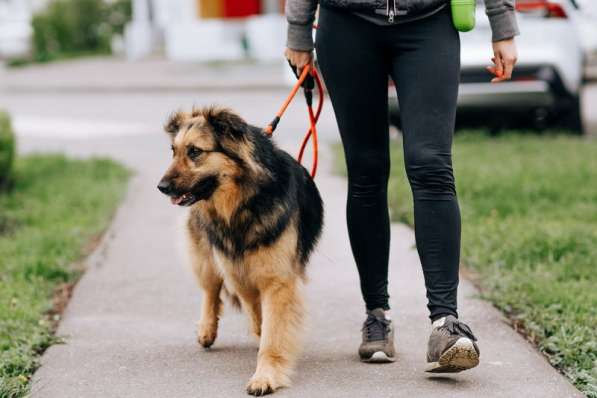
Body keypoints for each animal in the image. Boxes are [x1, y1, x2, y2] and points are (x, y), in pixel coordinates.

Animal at [156, 107, 324, 396]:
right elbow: (258, 319)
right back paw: (206, 329)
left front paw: (266, 374)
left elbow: (272, 331)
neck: (243, 204)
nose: (162, 187)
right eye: (173, 151)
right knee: (210, 289)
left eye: (195, 151)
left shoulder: (276, 281)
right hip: (207, 257)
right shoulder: (240, 275)